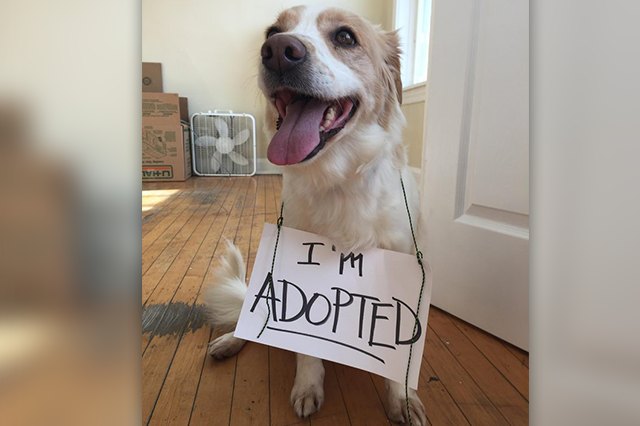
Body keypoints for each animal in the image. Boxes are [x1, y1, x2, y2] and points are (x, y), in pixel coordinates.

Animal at [205, 5, 424, 424]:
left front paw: (402, 398)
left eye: (345, 37)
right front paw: (308, 387)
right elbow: (306, 352)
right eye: (272, 32)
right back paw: (229, 341)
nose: (277, 51)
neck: (338, 181)